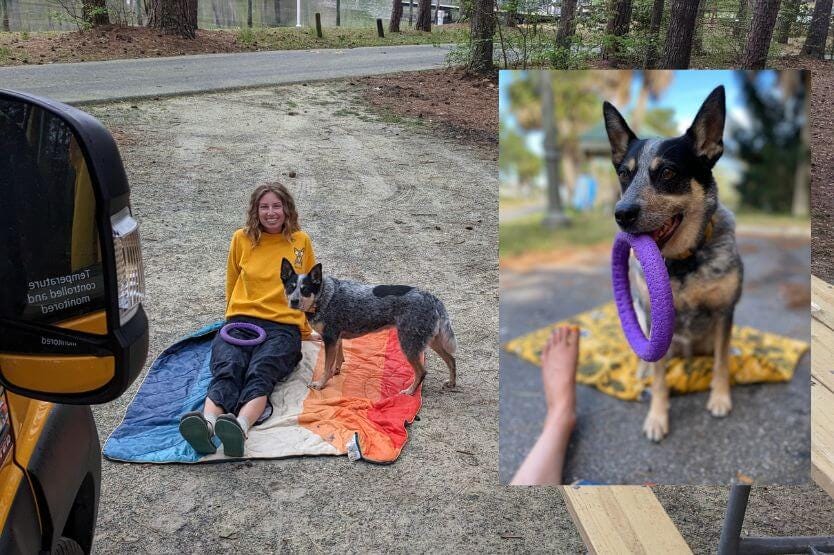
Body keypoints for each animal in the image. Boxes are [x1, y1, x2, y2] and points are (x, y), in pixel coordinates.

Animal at [280, 260, 456, 396]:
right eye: (290, 287)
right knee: (451, 359)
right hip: (431, 340)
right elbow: (338, 358)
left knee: (422, 372)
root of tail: (432, 298)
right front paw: (336, 371)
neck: (324, 296)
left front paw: (320, 384)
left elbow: (326, 367)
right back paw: (452, 383)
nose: (294, 301)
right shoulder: (336, 338)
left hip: (408, 344)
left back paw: (410, 392)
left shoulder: (329, 338)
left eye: (305, 289)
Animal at [604, 86, 740, 444]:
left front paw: (720, 397)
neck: (682, 263)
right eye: (624, 174)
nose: (621, 214)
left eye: (667, 172)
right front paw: (657, 418)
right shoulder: (655, 321)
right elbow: (660, 377)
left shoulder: (724, 312)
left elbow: (721, 361)